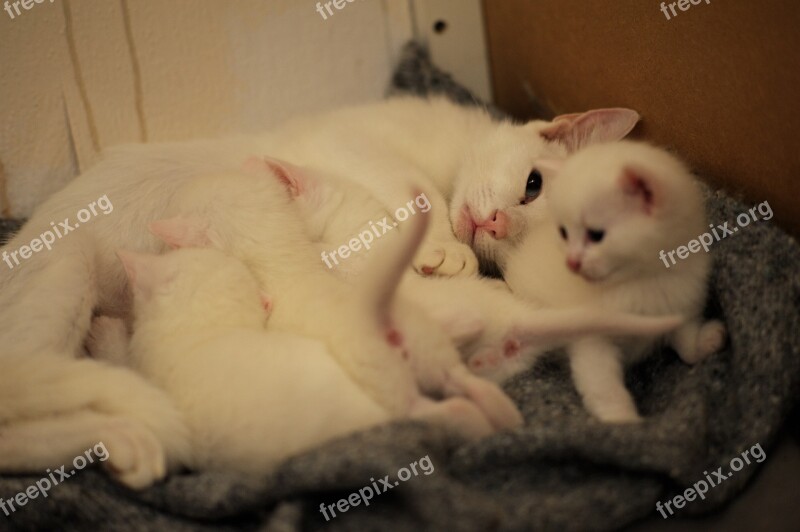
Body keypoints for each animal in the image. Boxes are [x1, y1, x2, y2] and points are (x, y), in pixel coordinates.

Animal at [504, 139, 728, 422]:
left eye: (596, 235)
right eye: (564, 232)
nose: (571, 263)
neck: (640, 282)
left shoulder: (683, 305)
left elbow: (687, 345)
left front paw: (706, 342)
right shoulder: (591, 340)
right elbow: (604, 388)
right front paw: (624, 420)